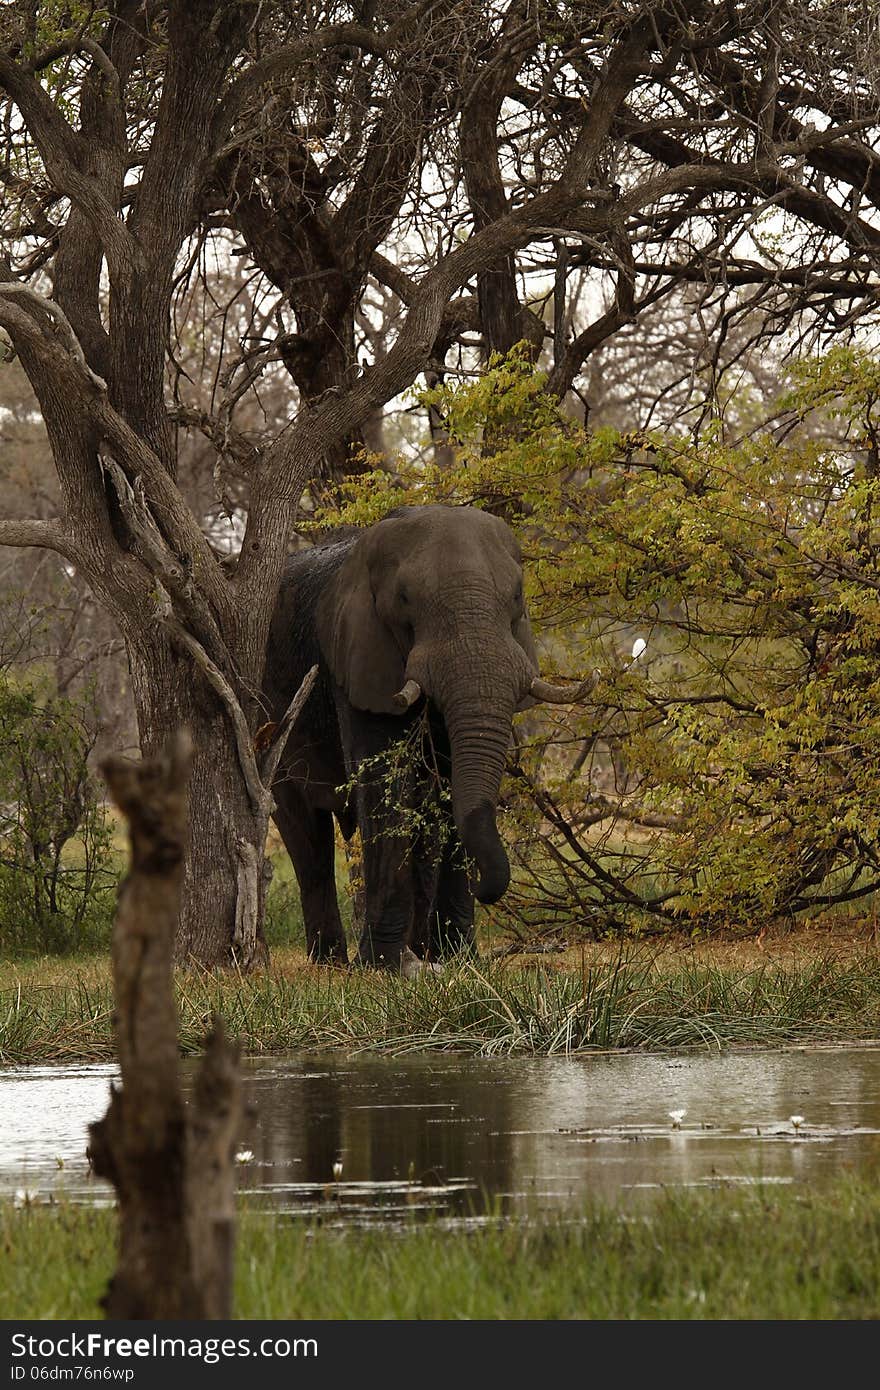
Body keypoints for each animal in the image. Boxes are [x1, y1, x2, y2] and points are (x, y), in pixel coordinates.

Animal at [262, 500, 569, 967]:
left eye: (517, 596)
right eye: (404, 600)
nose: (487, 889)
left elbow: (449, 786)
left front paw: (458, 959)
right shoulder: (356, 659)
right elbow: (386, 782)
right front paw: (385, 966)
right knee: (305, 832)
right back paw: (332, 962)